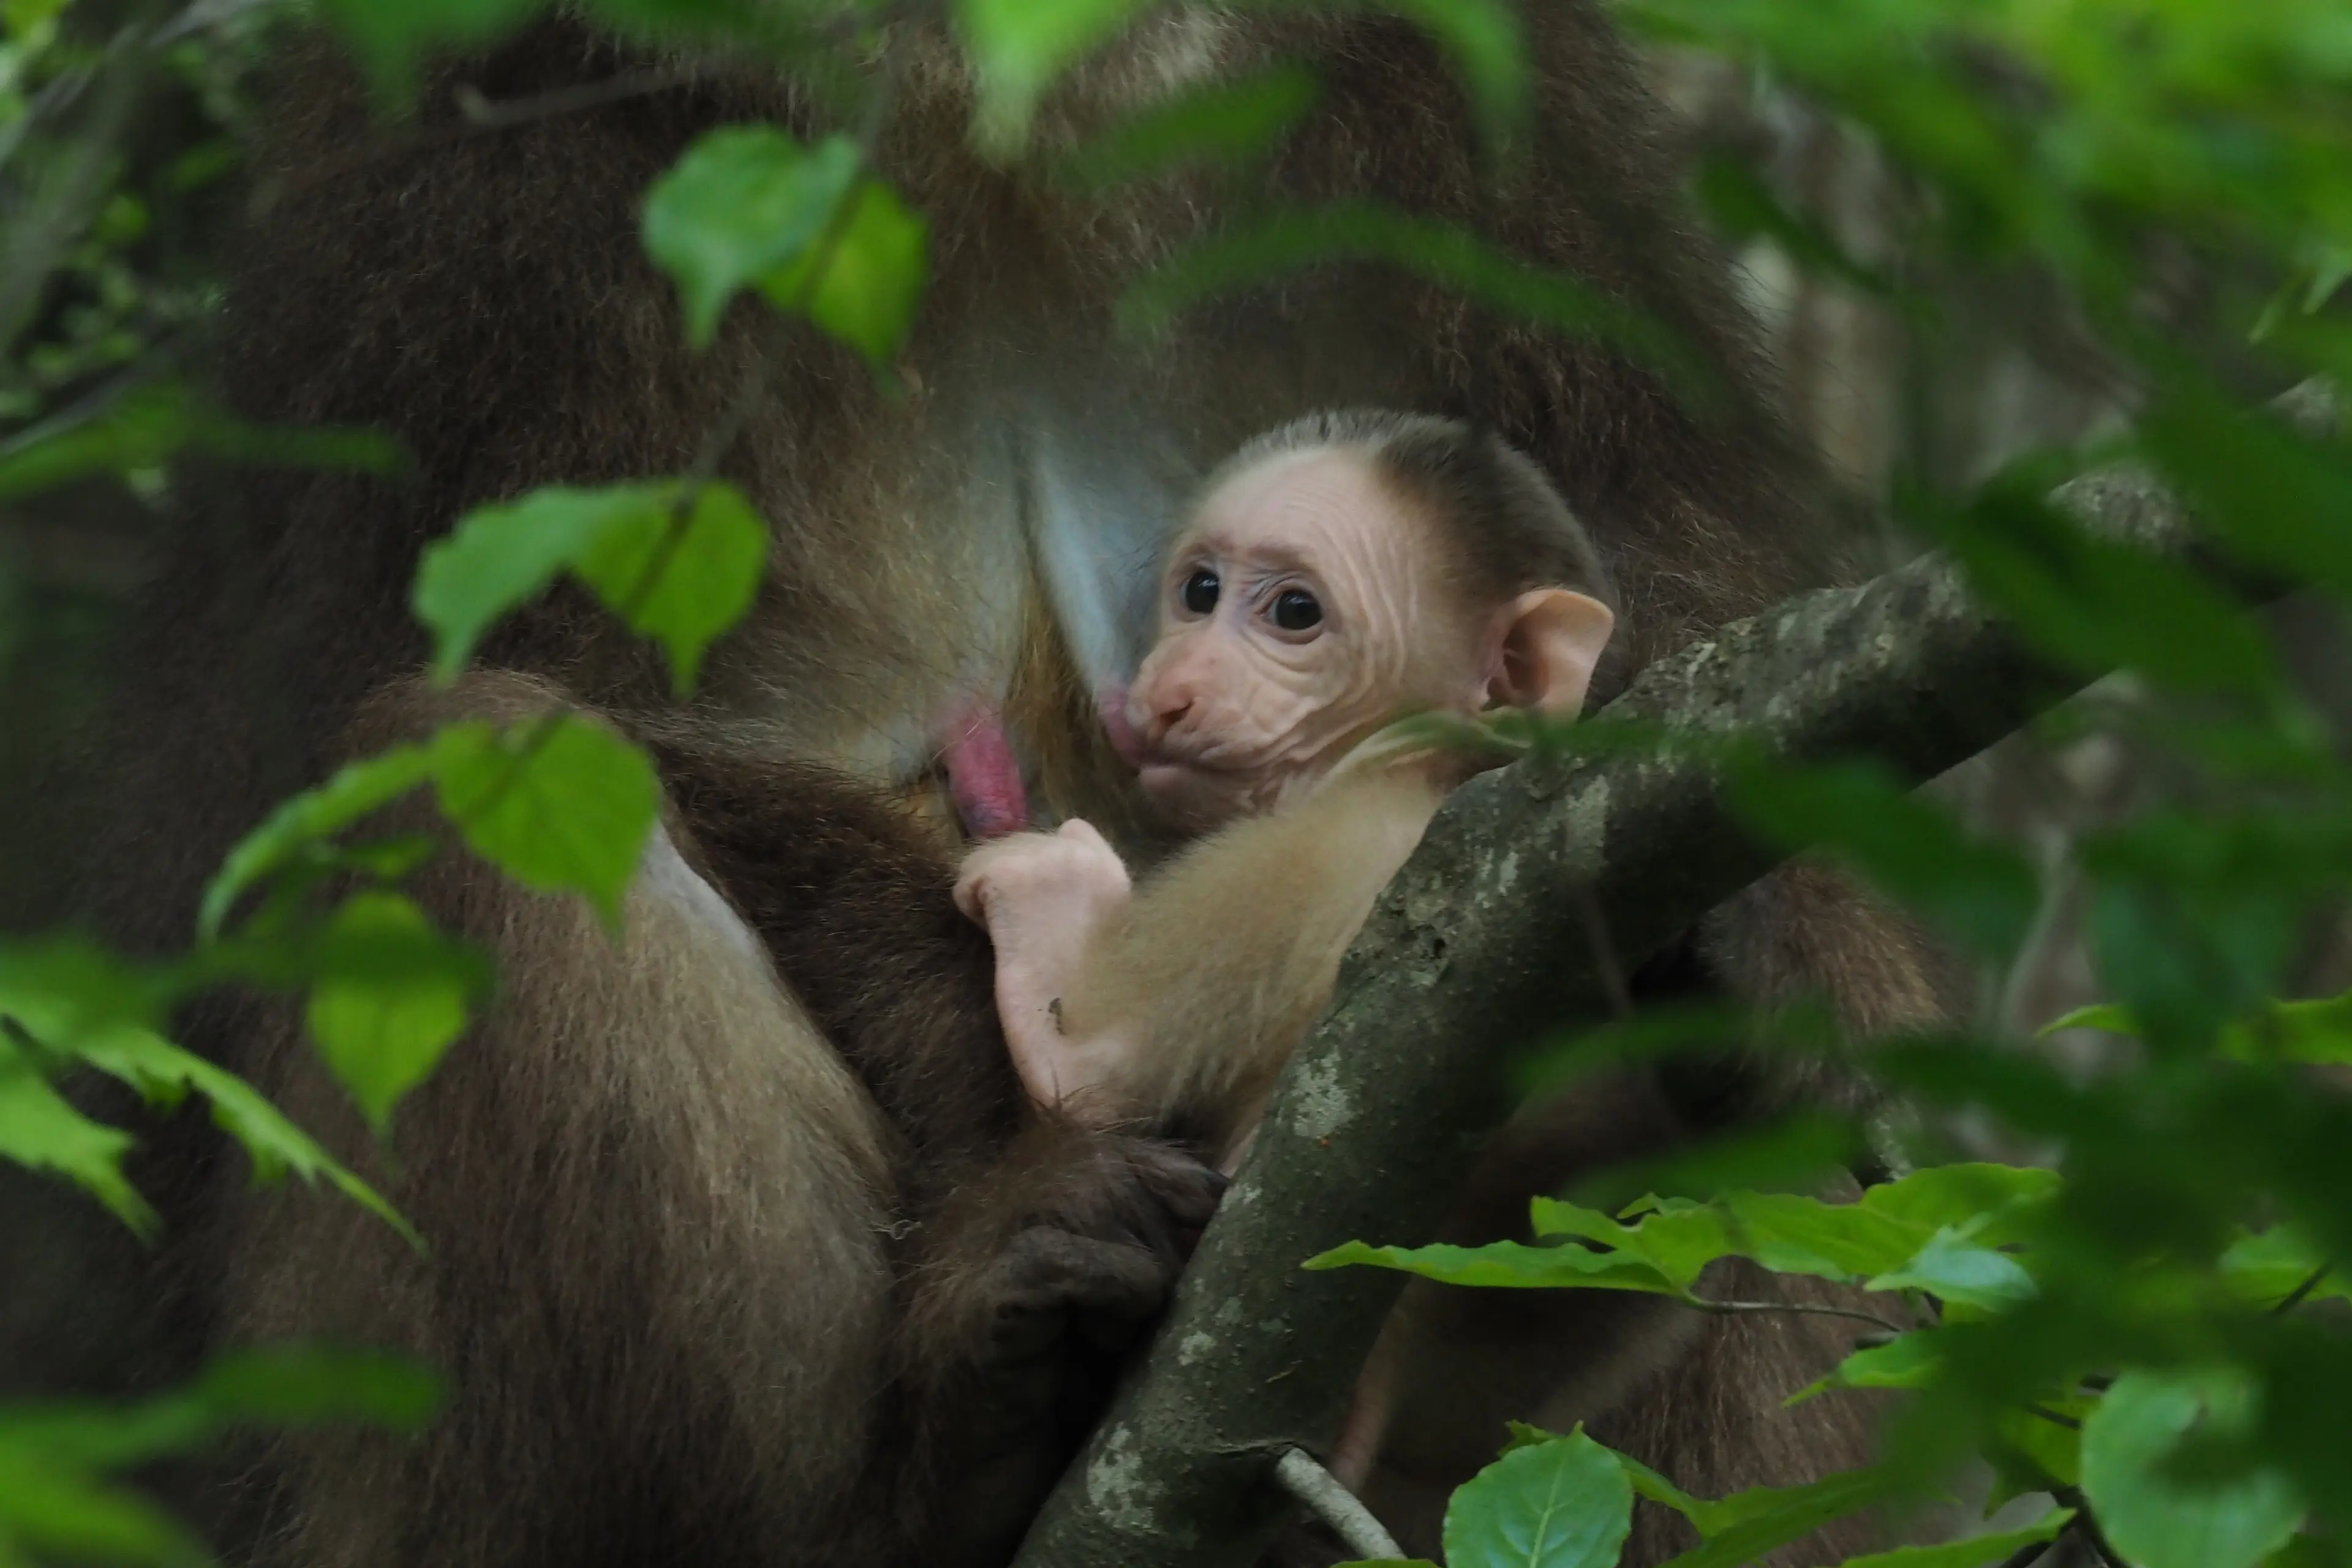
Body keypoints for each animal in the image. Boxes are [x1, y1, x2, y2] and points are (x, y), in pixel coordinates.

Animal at [40, 6, 1946, 1567]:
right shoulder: (482, 216)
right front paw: (1039, 1132)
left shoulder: (1473, 146)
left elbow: (1714, 725)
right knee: (469, 773)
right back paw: (945, 1450)